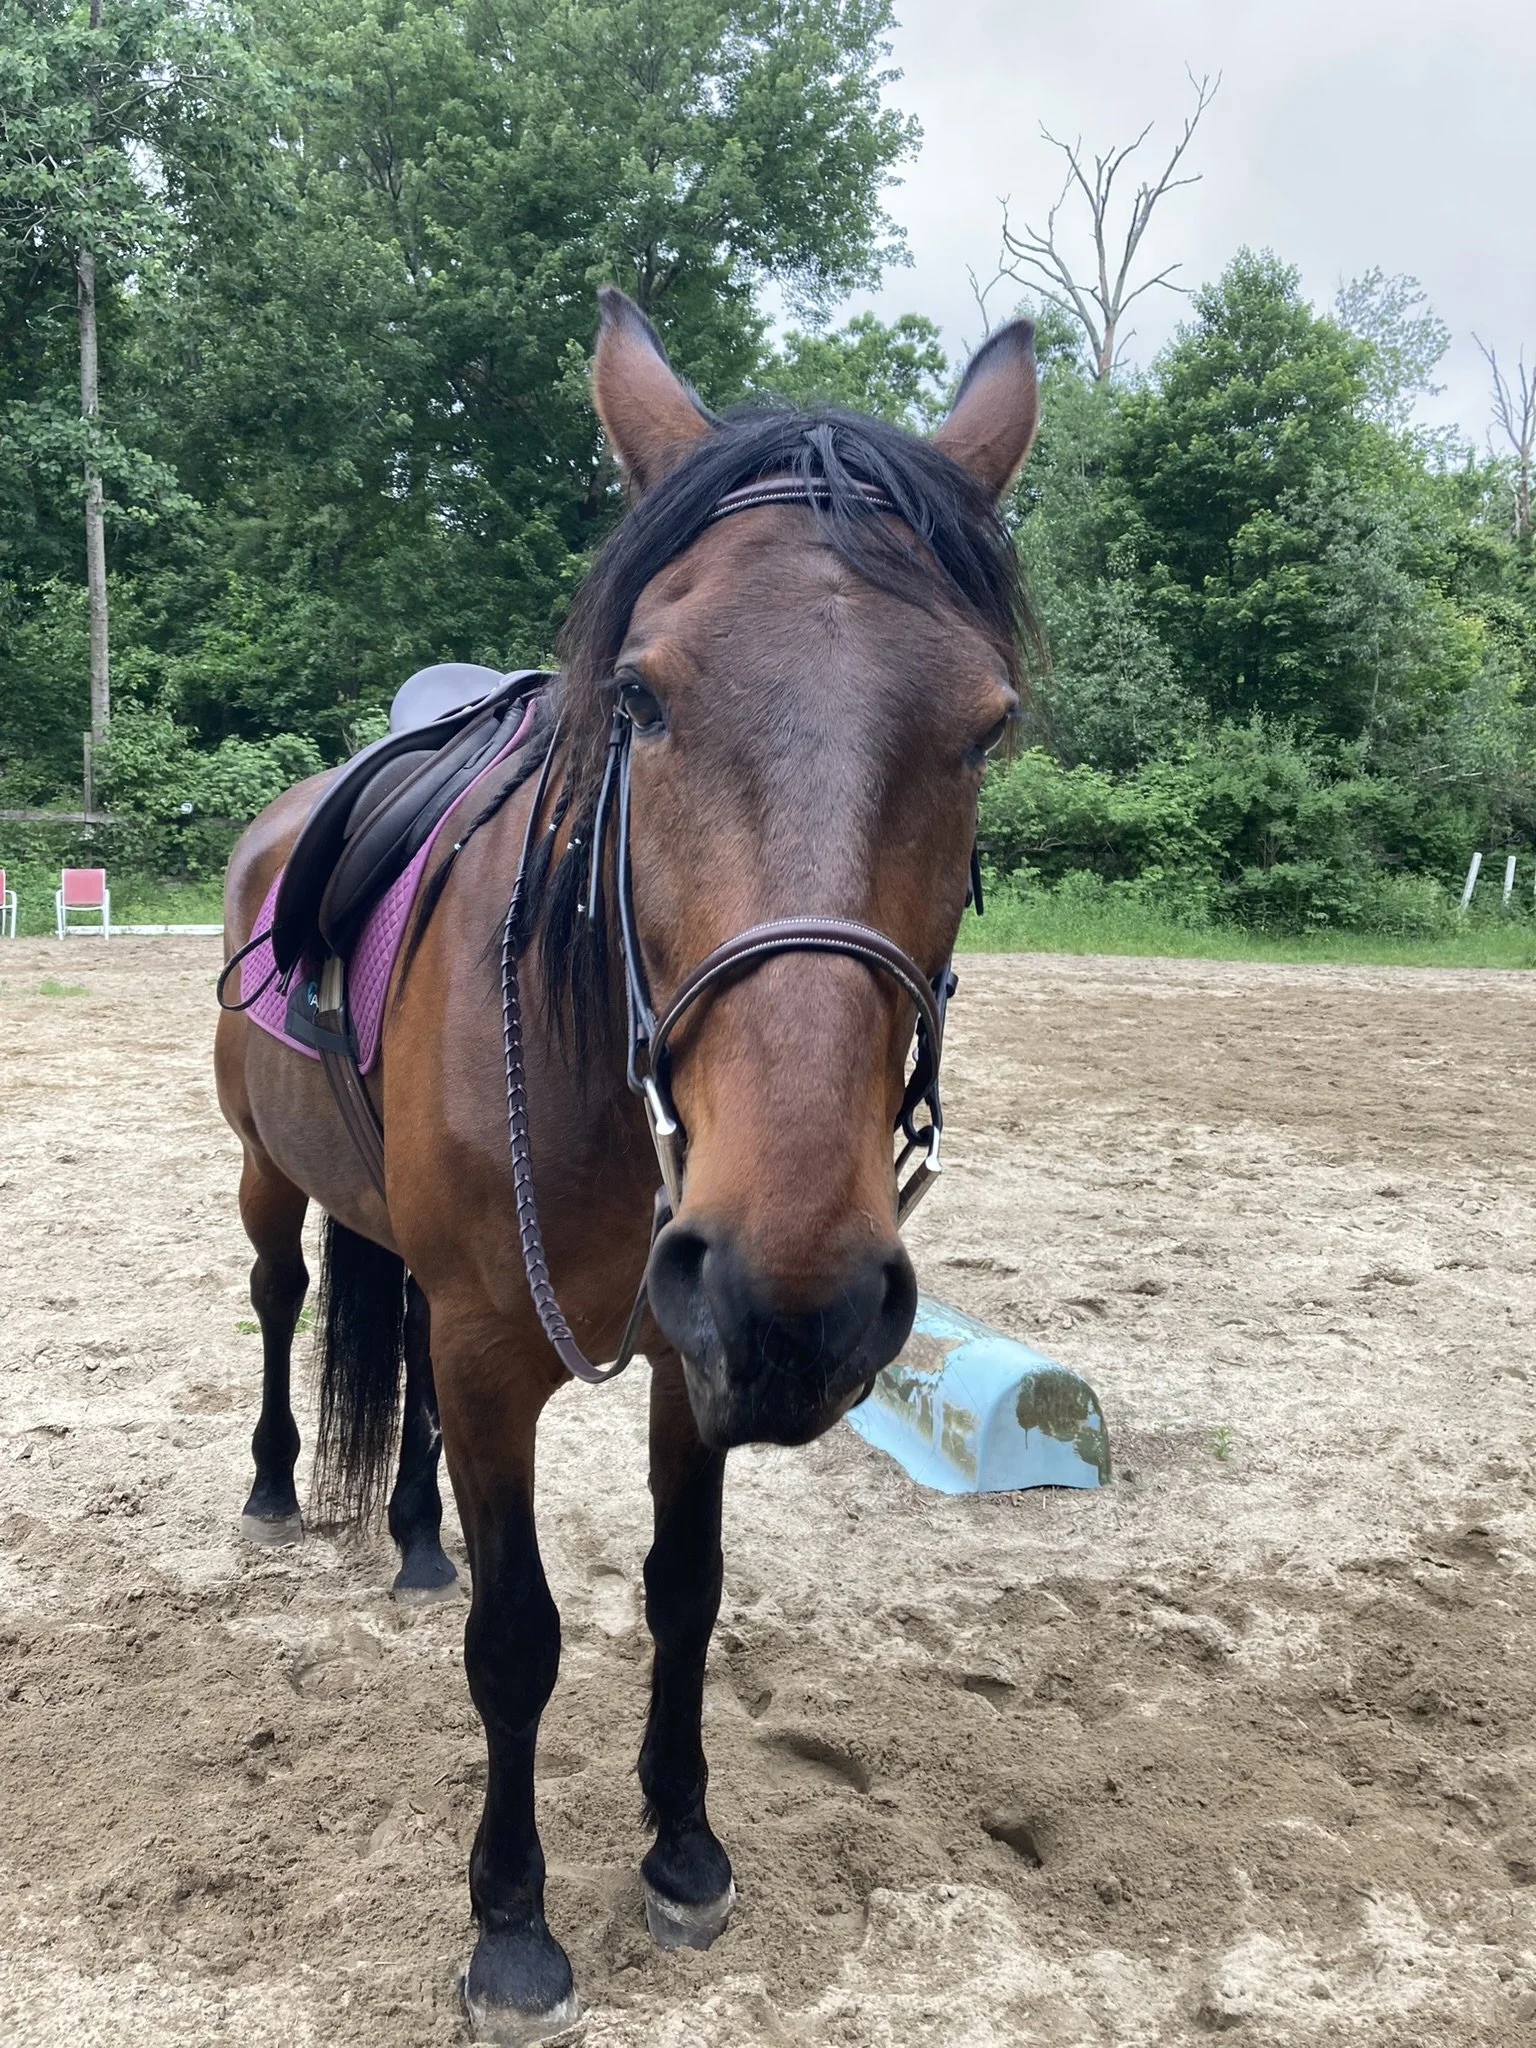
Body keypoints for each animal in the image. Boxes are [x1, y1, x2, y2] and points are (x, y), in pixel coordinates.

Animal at [214, 286, 1038, 2043]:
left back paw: (413, 1534)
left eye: (986, 729)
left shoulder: (691, 1344)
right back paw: (270, 1490)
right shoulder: (498, 1342)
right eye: (645, 699)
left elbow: (685, 1587)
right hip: (268, 1178)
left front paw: (683, 1847)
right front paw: (512, 1924)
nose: (809, 1292)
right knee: (277, 1299)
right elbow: (518, 1638)